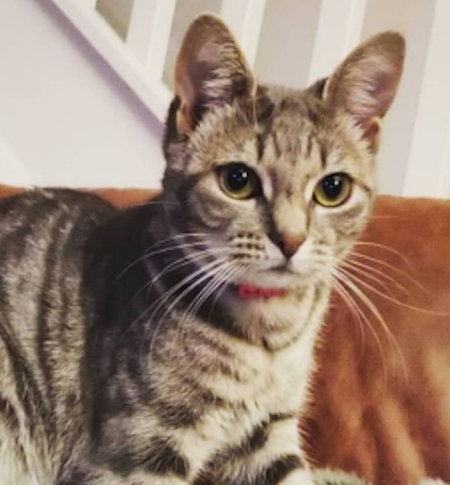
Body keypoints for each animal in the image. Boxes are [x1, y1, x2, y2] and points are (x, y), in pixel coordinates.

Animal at [0, 14, 405, 485]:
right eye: (238, 180)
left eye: (333, 188)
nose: (291, 239)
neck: (268, 339)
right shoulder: (140, 449)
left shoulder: (269, 437)